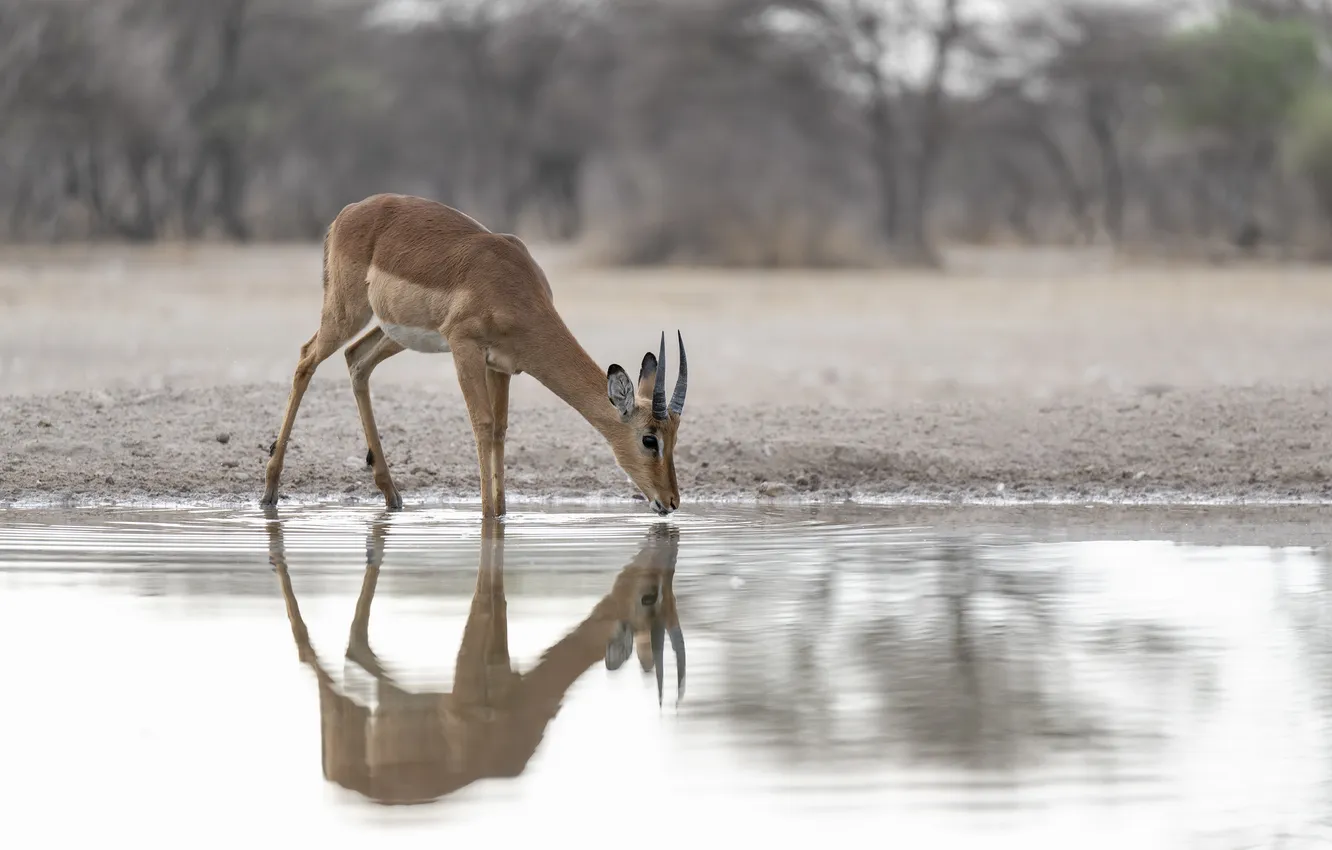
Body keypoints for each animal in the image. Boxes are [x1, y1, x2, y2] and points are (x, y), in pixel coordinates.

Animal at [260, 193, 689, 518]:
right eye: (650, 439)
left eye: (675, 436)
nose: (671, 501)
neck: (514, 288)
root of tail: (348, 212)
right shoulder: (464, 347)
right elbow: (481, 425)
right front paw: (486, 517)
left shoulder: (503, 365)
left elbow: (500, 430)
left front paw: (501, 515)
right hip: (345, 314)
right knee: (306, 358)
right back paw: (269, 490)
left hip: (392, 332)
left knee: (357, 360)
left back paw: (392, 495)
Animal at [266, 512, 686, 806]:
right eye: (648, 598)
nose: (665, 512)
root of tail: (334, 776)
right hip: (342, 708)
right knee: (322, 657)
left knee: (359, 651)